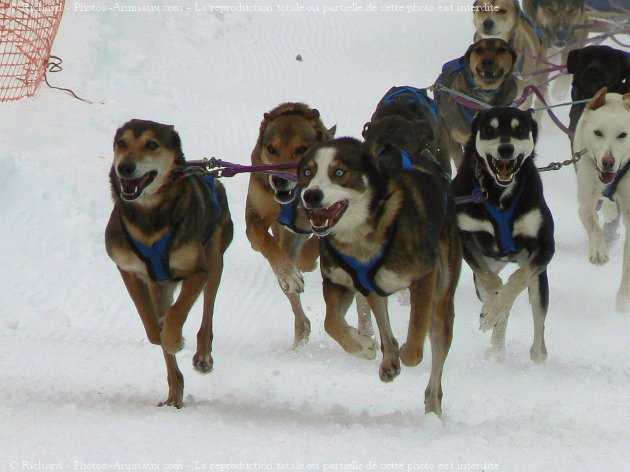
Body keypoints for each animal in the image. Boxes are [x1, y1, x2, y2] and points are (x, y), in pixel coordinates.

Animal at [106, 120, 235, 408]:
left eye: (152, 144)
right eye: (121, 143)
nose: (124, 167)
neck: (149, 217)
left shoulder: (197, 270)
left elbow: (178, 314)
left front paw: (175, 338)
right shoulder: (129, 271)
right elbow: (152, 325)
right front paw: (163, 334)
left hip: (214, 260)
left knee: (207, 311)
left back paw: (202, 355)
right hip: (160, 285)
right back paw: (174, 394)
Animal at [298, 137, 462, 416]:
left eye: (339, 172)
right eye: (308, 173)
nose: (311, 195)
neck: (360, 238)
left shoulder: (425, 276)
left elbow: (416, 337)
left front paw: (406, 352)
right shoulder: (338, 282)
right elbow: (331, 323)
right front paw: (363, 347)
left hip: (441, 298)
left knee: (435, 354)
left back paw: (432, 407)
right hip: (373, 289)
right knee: (385, 329)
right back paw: (389, 359)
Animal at [454, 107, 552, 362]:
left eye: (520, 129)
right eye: (490, 129)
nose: (505, 149)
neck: (498, 193)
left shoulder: (545, 246)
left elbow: (516, 280)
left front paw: (495, 308)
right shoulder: (464, 236)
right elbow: (493, 282)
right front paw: (491, 309)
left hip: (539, 281)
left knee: (538, 327)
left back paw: (535, 355)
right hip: (480, 276)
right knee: (490, 289)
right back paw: (496, 346)